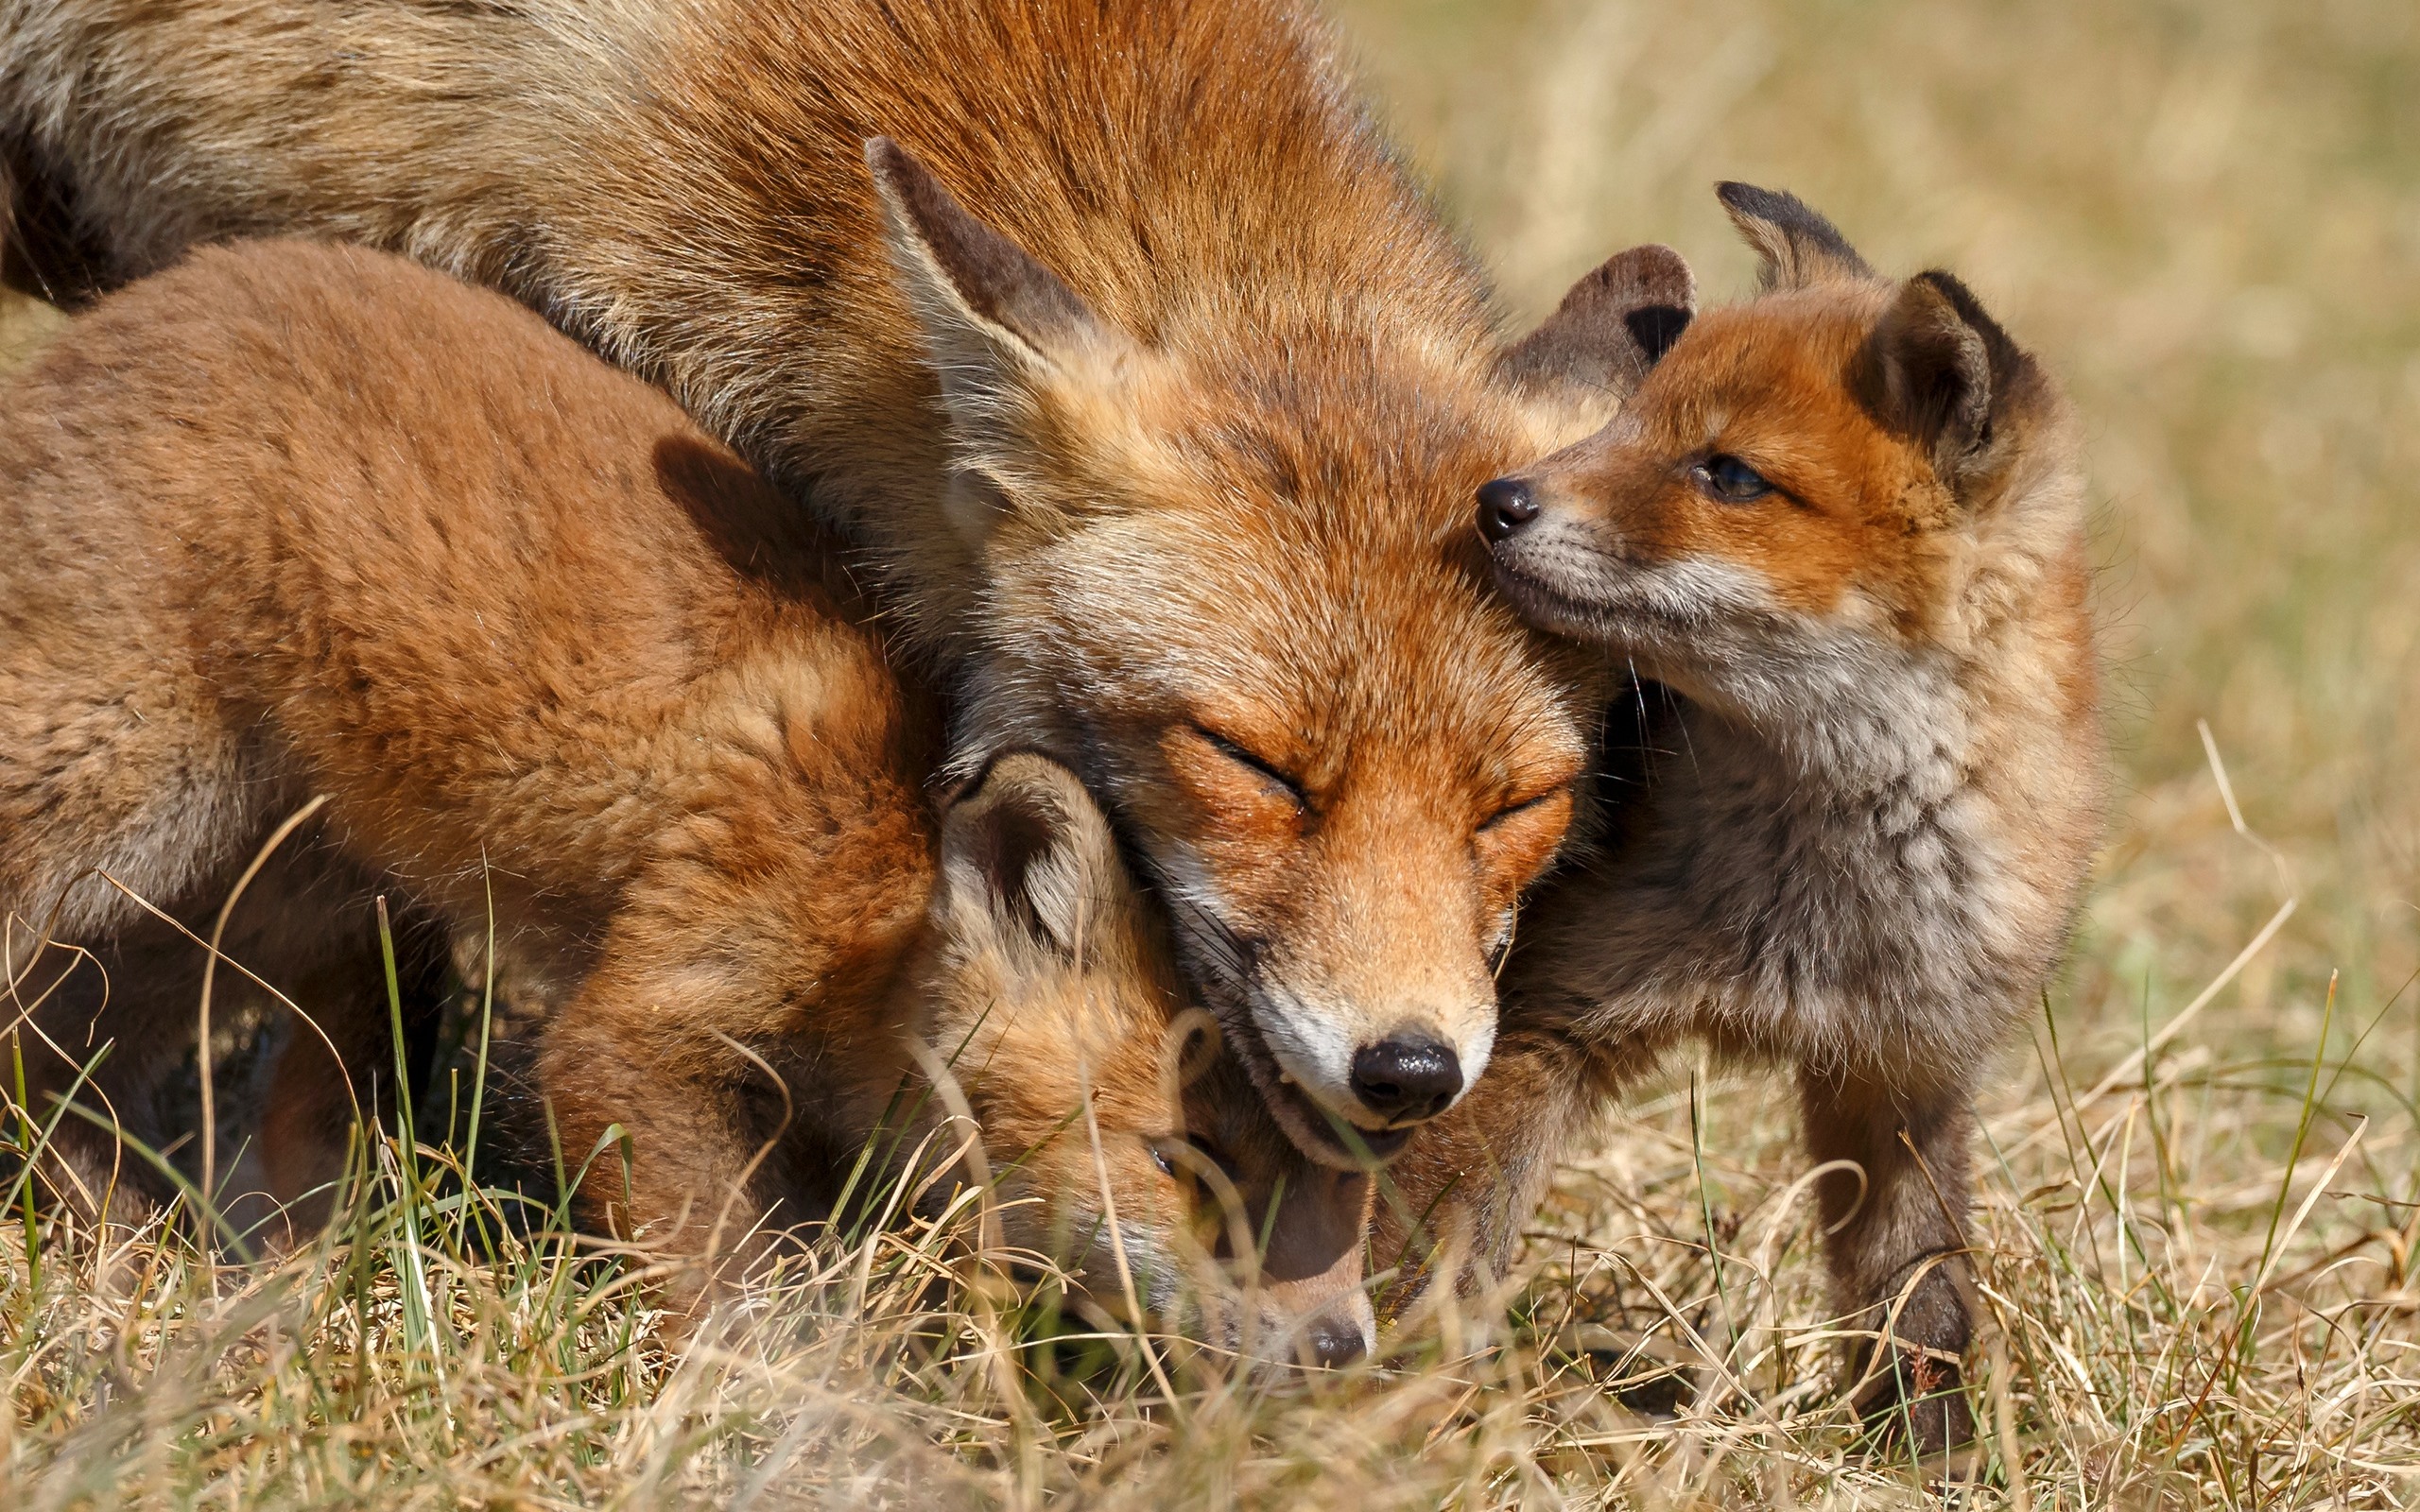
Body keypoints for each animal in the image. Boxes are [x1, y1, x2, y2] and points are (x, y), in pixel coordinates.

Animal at [0, 240, 1374, 1366]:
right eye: (1187, 1162)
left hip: (255, 902)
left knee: (58, 1061)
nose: (1343, 1348)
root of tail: (121, 314)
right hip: (116, 793)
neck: (879, 881)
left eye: (1345, 1187)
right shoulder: (638, 1030)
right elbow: (735, 1288)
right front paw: (796, 1414)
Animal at [1384, 185, 2105, 1447]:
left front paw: (1926, 1456)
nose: (1496, 501)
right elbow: (1437, 1251)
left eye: (1725, 473)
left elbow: (1920, 1295)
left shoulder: (1903, 1073)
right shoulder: (1536, 1019)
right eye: (1627, 421)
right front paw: (1379, 1405)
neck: (1819, 901)